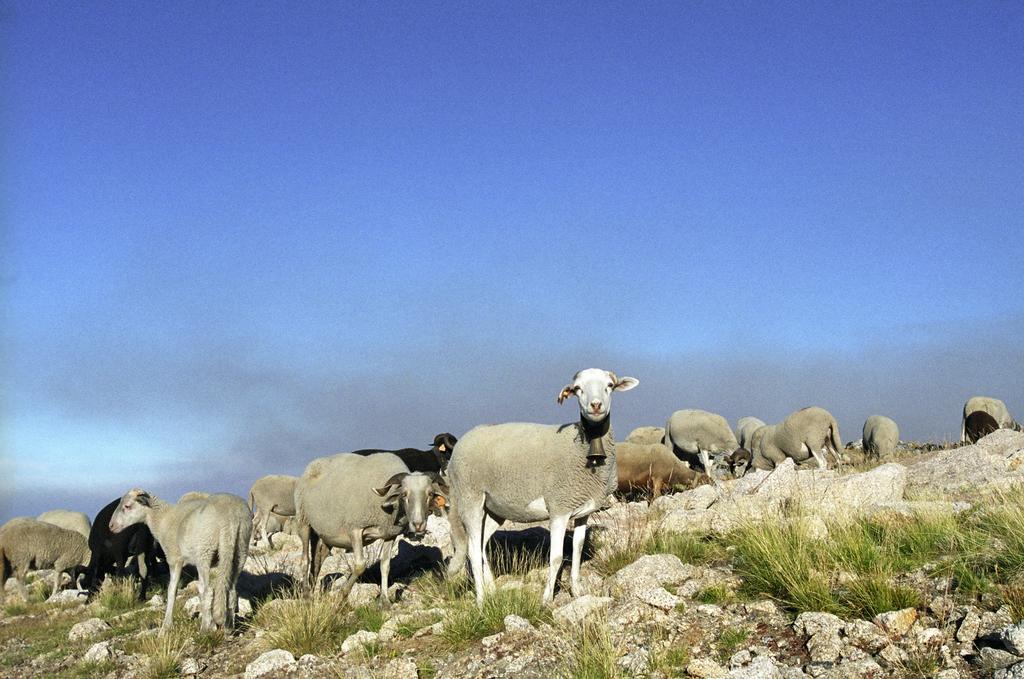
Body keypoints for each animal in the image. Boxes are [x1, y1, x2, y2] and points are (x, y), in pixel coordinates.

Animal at [109, 489, 250, 630]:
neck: (162, 519)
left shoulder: (174, 558)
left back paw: (205, 628)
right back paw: (228, 628)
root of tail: (231, 516)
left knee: (206, 590)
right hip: (240, 549)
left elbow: (172, 590)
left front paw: (166, 626)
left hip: (204, 551)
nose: (111, 526)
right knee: (231, 592)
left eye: (127, 506)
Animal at [292, 450, 444, 606]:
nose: (418, 524)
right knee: (305, 560)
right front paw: (342, 596)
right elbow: (360, 565)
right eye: (404, 494)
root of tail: (312, 466)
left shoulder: (390, 534)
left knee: (317, 561)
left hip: (325, 534)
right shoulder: (355, 529)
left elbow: (385, 566)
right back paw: (306, 596)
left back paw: (312, 590)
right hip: (303, 521)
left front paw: (384, 600)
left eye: (430, 494)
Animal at [446, 368, 630, 606]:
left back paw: (492, 591)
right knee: (473, 550)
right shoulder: (559, 508)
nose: (596, 405)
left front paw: (577, 591)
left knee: (479, 545)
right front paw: (546, 599)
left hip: (494, 509)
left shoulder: (583, 510)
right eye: (577, 389)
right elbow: (557, 557)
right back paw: (481, 600)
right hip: (470, 497)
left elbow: (578, 550)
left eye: (610, 385)